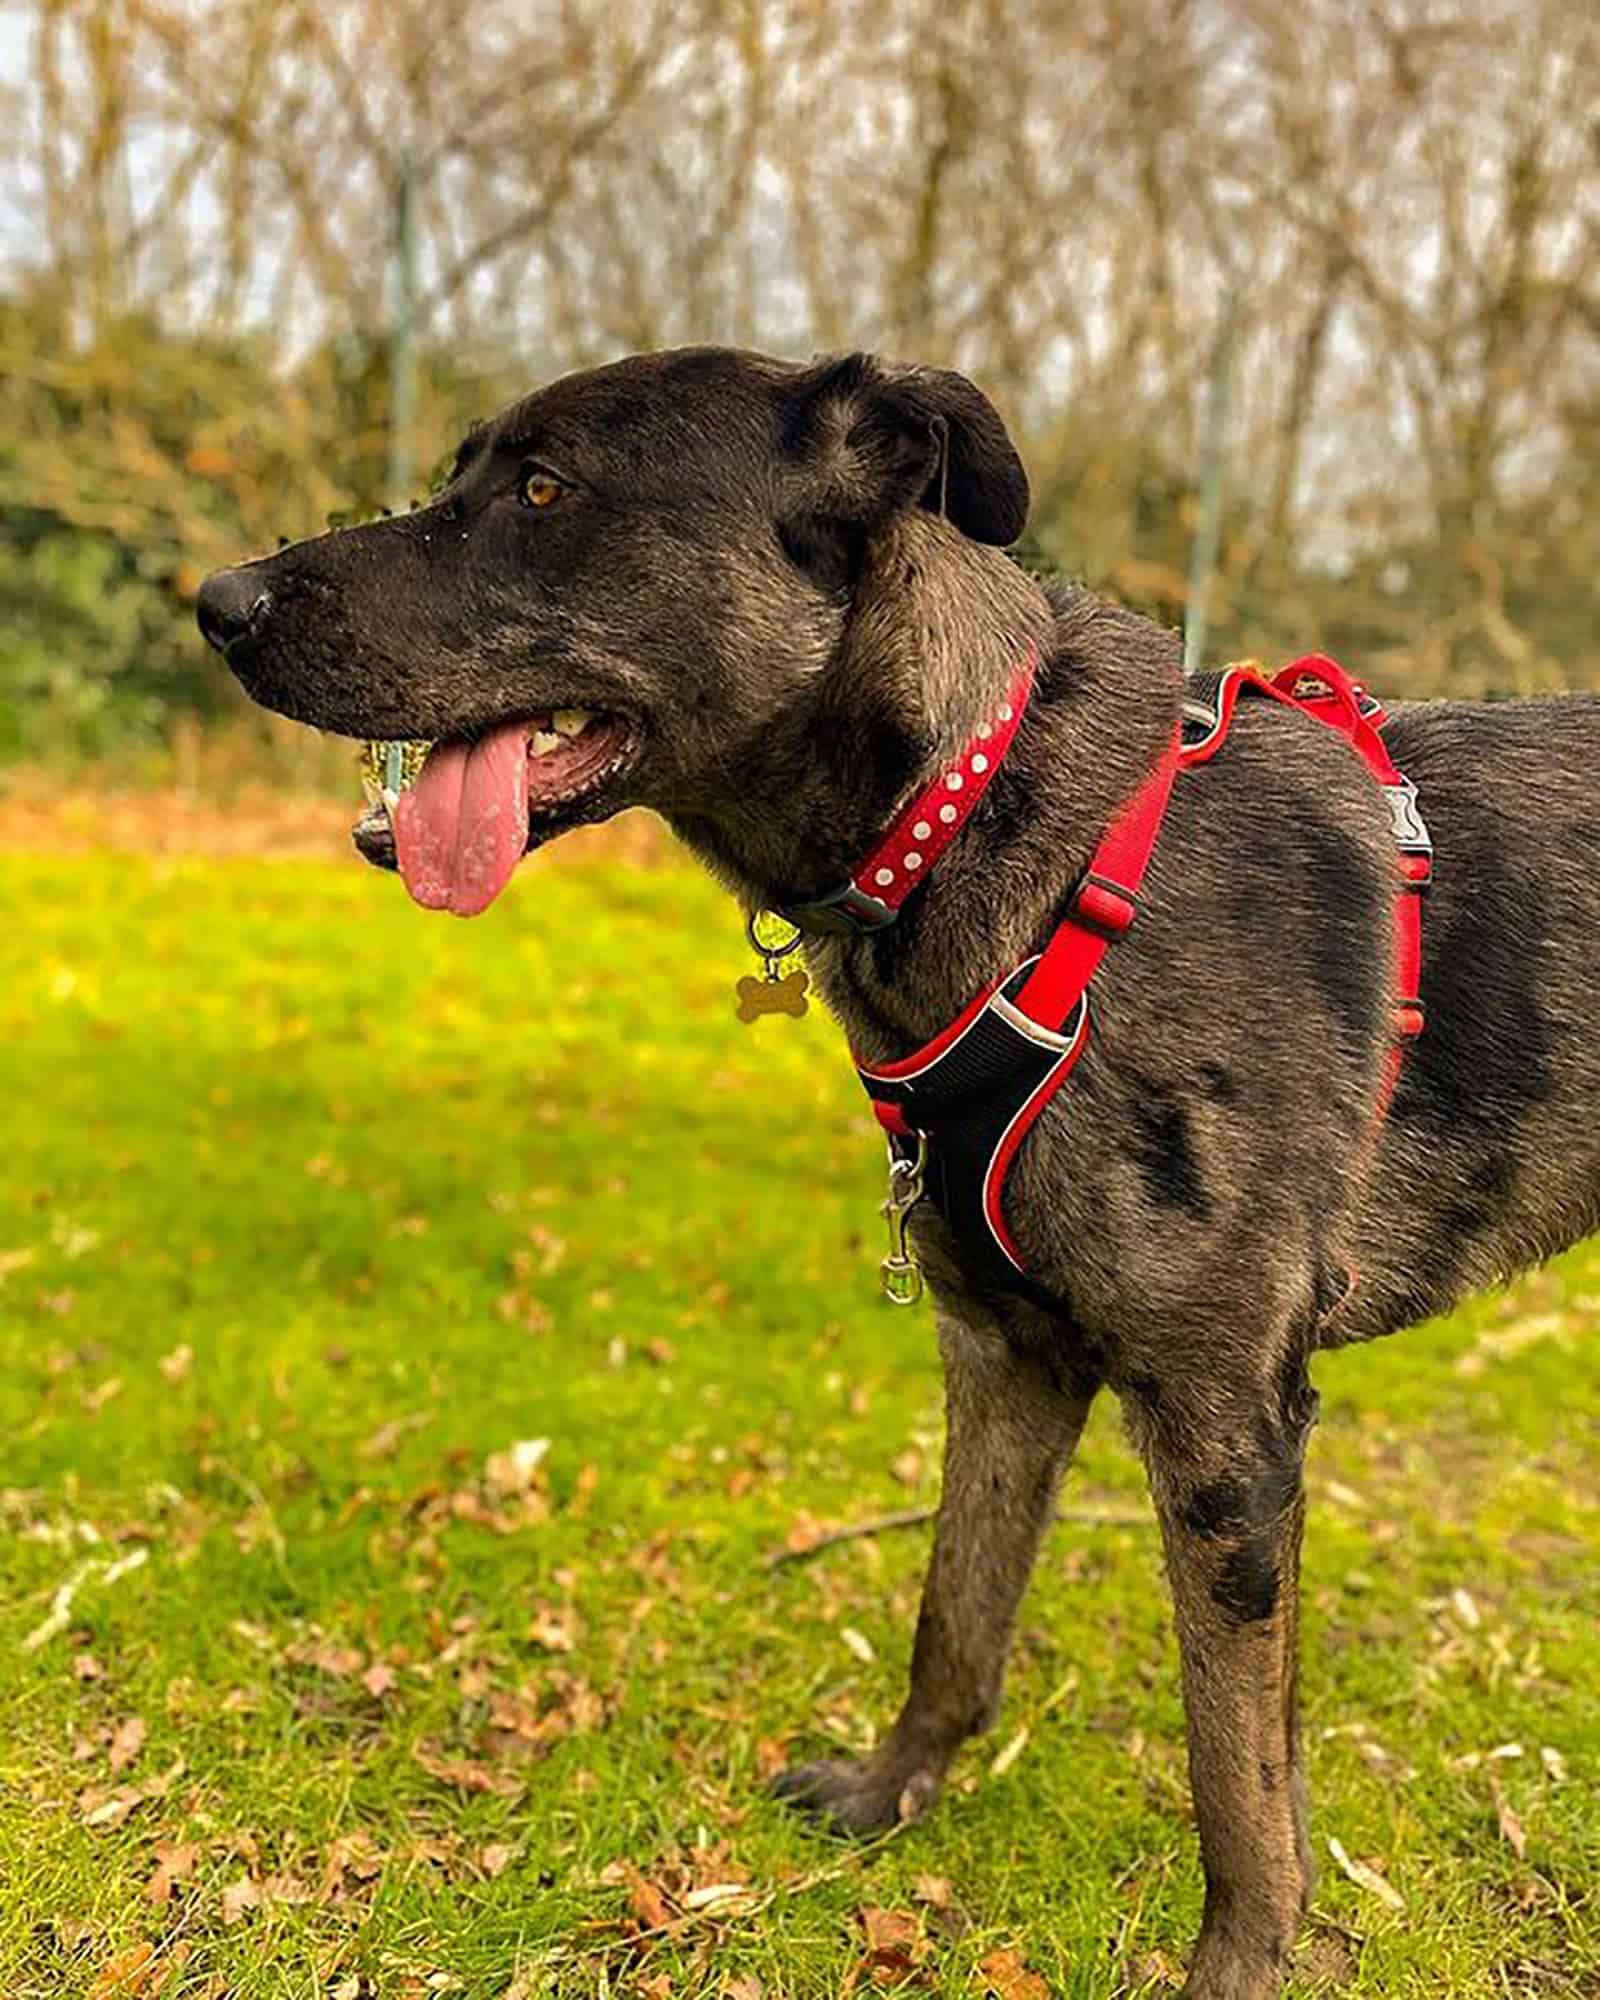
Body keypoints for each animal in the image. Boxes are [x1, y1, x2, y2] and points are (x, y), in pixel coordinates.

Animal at [197, 348, 1600, 2000]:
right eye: (467, 471)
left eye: (542, 490)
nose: (217, 601)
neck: (982, 811)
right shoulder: (1005, 1357)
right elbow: (959, 1618)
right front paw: (893, 1795)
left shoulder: (1225, 1429)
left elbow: (1231, 1768)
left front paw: (1246, 1956)